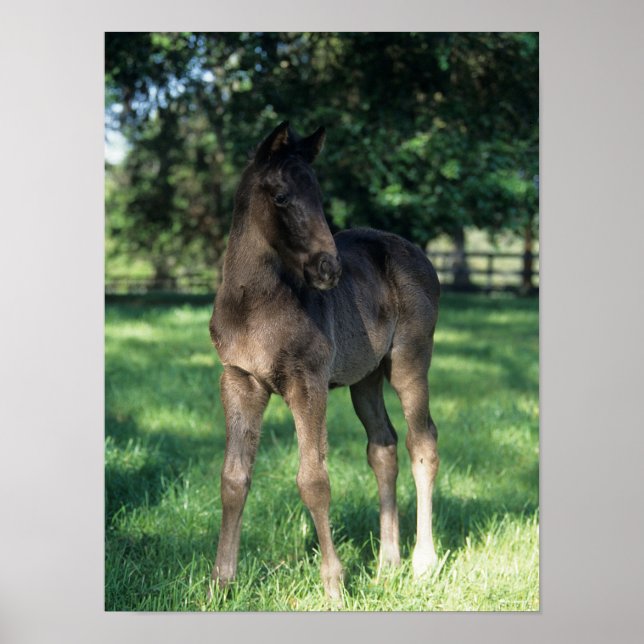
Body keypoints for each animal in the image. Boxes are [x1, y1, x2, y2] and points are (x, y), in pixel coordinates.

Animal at [209, 121, 440, 601]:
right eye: (281, 196)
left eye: (318, 194)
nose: (328, 268)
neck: (254, 305)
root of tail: (421, 256)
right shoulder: (239, 380)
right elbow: (234, 478)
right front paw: (220, 584)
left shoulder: (308, 382)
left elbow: (313, 479)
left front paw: (333, 585)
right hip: (366, 377)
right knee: (383, 446)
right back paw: (387, 565)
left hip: (410, 360)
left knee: (422, 441)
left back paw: (423, 564)